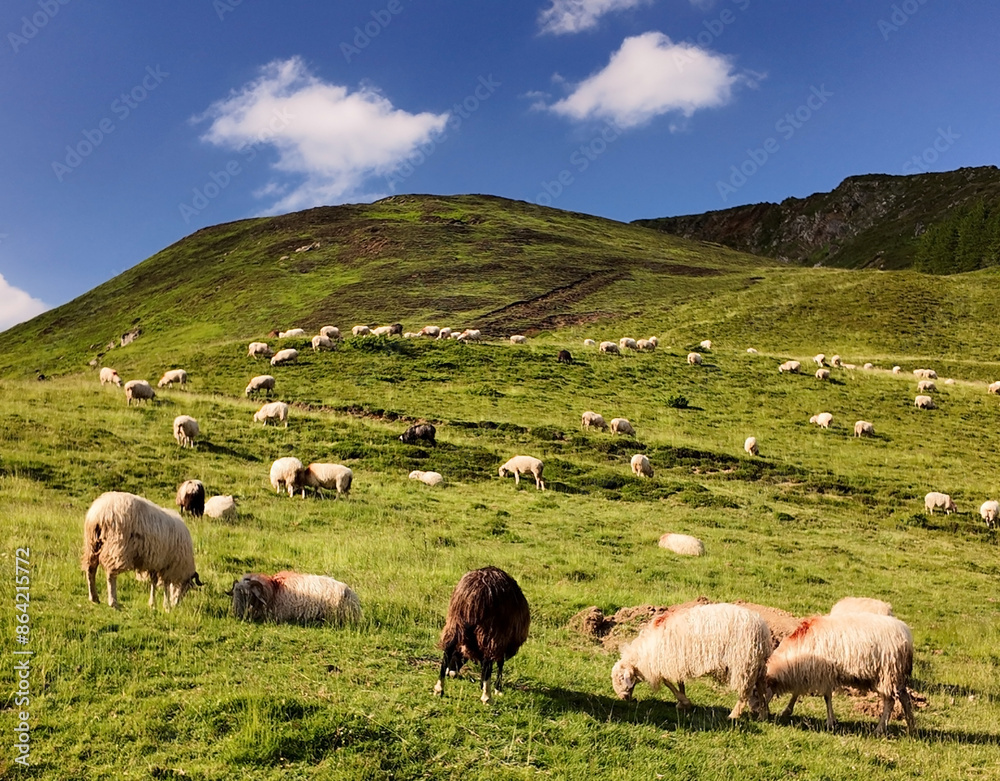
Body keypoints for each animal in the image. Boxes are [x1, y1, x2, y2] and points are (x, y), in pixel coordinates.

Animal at [434, 566, 530, 704]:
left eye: (457, 655)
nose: (450, 673)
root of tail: (474, 592)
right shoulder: (504, 640)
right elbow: (499, 664)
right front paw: (497, 689)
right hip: (491, 631)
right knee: (488, 660)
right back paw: (487, 697)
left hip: (455, 620)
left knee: (448, 649)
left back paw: (439, 689)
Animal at [611, 603, 771, 720]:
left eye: (621, 678)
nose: (623, 698)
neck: (645, 652)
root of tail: (762, 628)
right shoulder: (676, 662)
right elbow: (679, 683)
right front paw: (682, 704)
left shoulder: (666, 661)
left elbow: (668, 683)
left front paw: (684, 701)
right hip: (756, 663)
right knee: (761, 686)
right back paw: (763, 715)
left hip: (743, 662)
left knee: (745, 691)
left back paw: (734, 715)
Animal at [765, 613, 915, 734]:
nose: (765, 715)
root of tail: (906, 635)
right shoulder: (807, 673)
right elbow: (797, 692)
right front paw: (786, 711)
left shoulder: (822, 673)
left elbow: (826, 697)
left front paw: (830, 722)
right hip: (897, 676)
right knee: (905, 698)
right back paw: (912, 727)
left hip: (888, 673)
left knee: (890, 701)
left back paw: (879, 729)